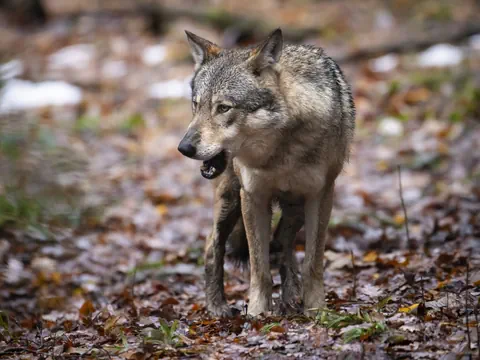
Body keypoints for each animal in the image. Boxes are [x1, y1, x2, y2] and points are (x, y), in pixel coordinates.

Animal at [178, 27, 354, 316]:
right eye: (196, 105)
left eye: (223, 108)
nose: (184, 148)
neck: (280, 152)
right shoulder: (253, 197)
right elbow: (259, 267)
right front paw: (257, 314)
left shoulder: (320, 196)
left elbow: (313, 262)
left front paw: (316, 310)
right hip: (230, 201)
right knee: (211, 246)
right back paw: (217, 307)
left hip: (295, 208)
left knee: (282, 243)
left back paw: (290, 296)